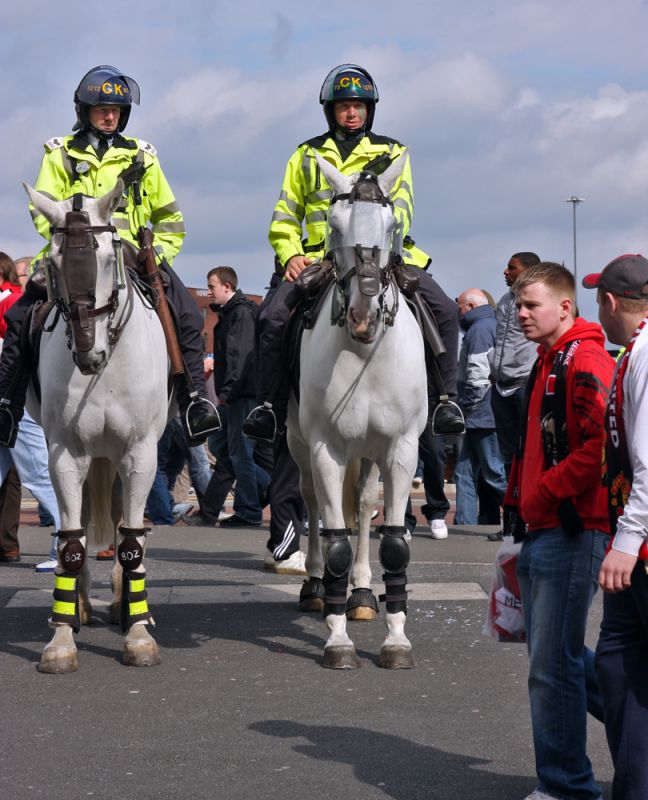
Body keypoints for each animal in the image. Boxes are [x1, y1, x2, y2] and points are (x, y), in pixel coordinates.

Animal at [25, 181, 168, 676]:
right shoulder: (65, 455)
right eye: (54, 262)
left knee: (125, 523)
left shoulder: (140, 453)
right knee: (84, 524)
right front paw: (61, 639)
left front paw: (139, 634)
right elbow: (71, 544)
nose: (90, 354)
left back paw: (125, 600)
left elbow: (133, 543)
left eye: (109, 256)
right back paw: (82, 605)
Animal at [288, 152, 428, 668]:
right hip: (300, 445)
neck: (365, 349)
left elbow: (393, 541)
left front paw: (396, 639)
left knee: (366, 505)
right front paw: (337, 639)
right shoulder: (326, 449)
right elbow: (335, 544)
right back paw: (315, 588)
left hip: (369, 452)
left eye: (391, 226)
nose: (364, 315)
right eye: (333, 223)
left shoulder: (401, 449)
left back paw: (364, 595)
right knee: (311, 503)